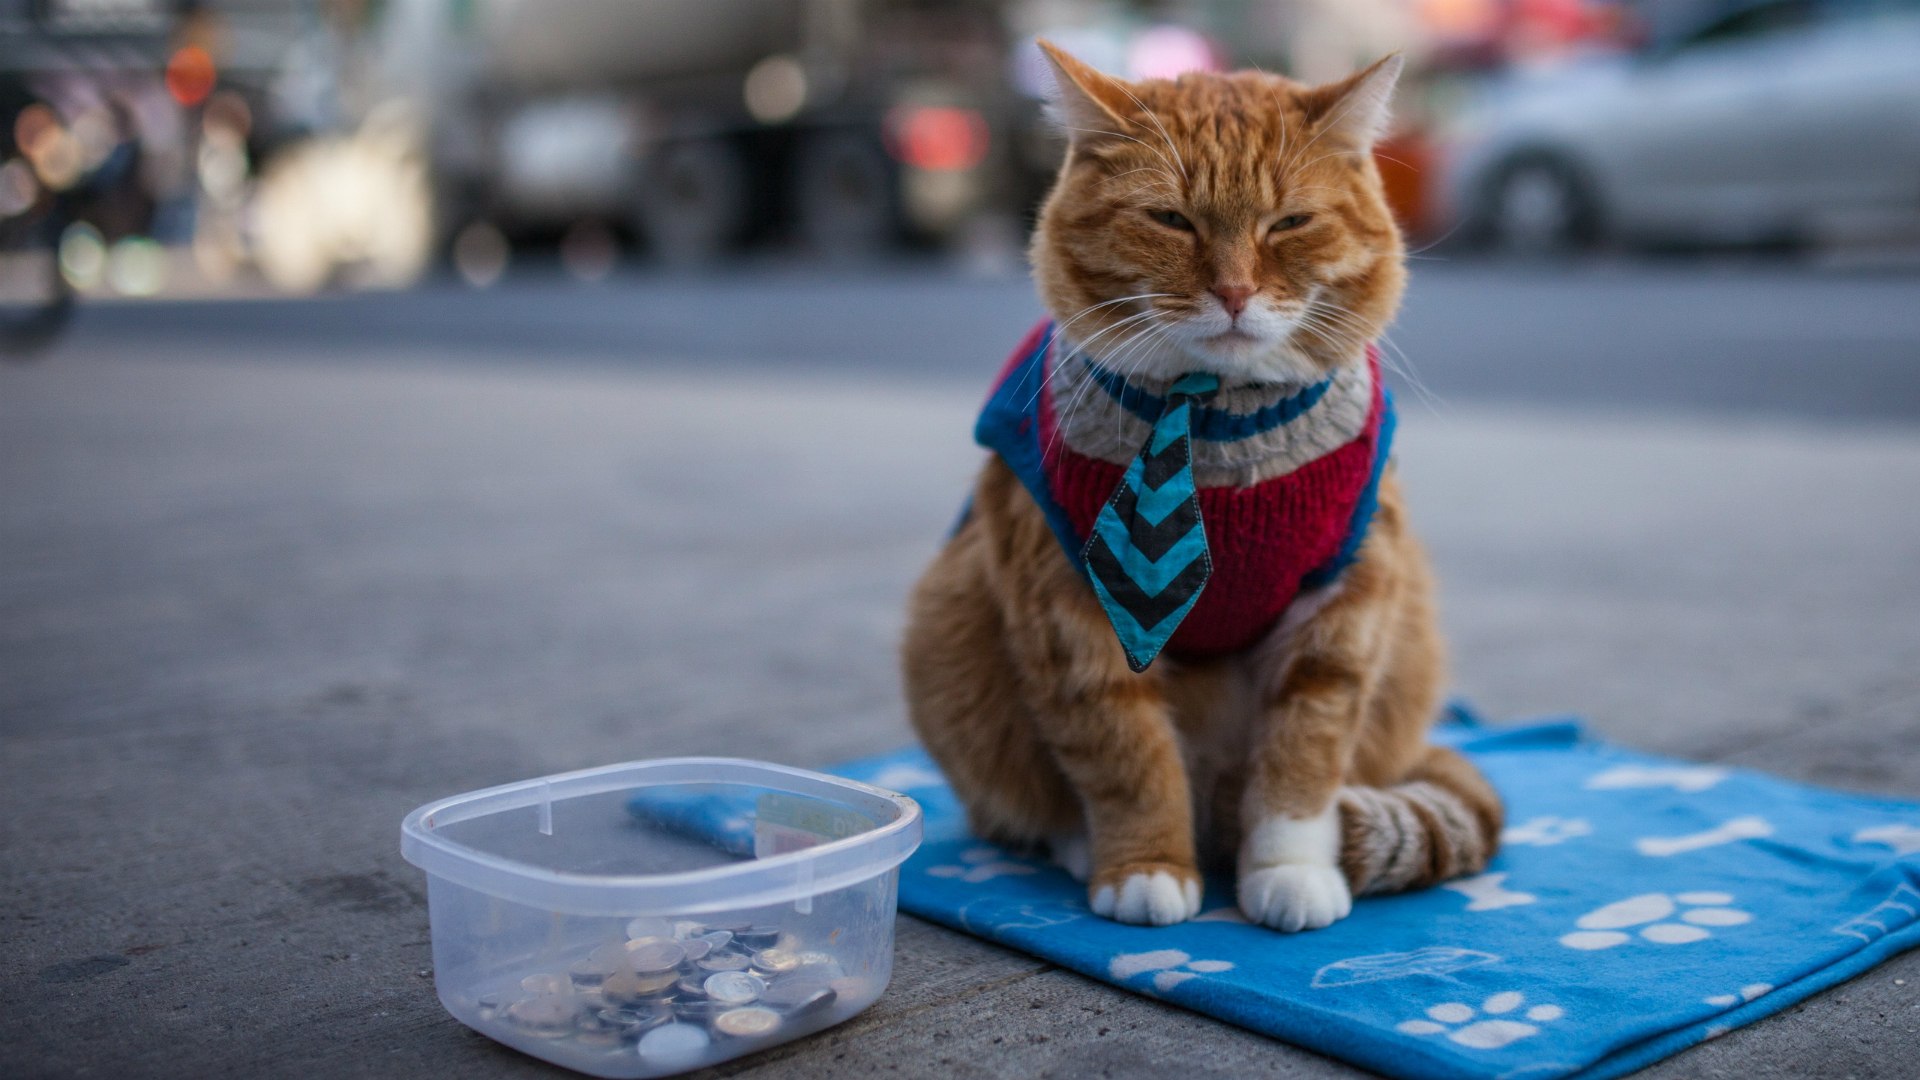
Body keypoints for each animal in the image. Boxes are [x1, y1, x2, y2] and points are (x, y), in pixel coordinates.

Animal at [898, 46, 1497, 930]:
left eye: (1289, 223)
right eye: (1171, 220)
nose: (1237, 293)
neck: (1211, 413)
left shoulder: (1346, 606)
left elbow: (1305, 754)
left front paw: (1289, 868)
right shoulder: (1073, 609)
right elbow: (1124, 751)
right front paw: (1145, 866)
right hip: (953, 625)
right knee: (1024, 801)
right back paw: (1088, 844)